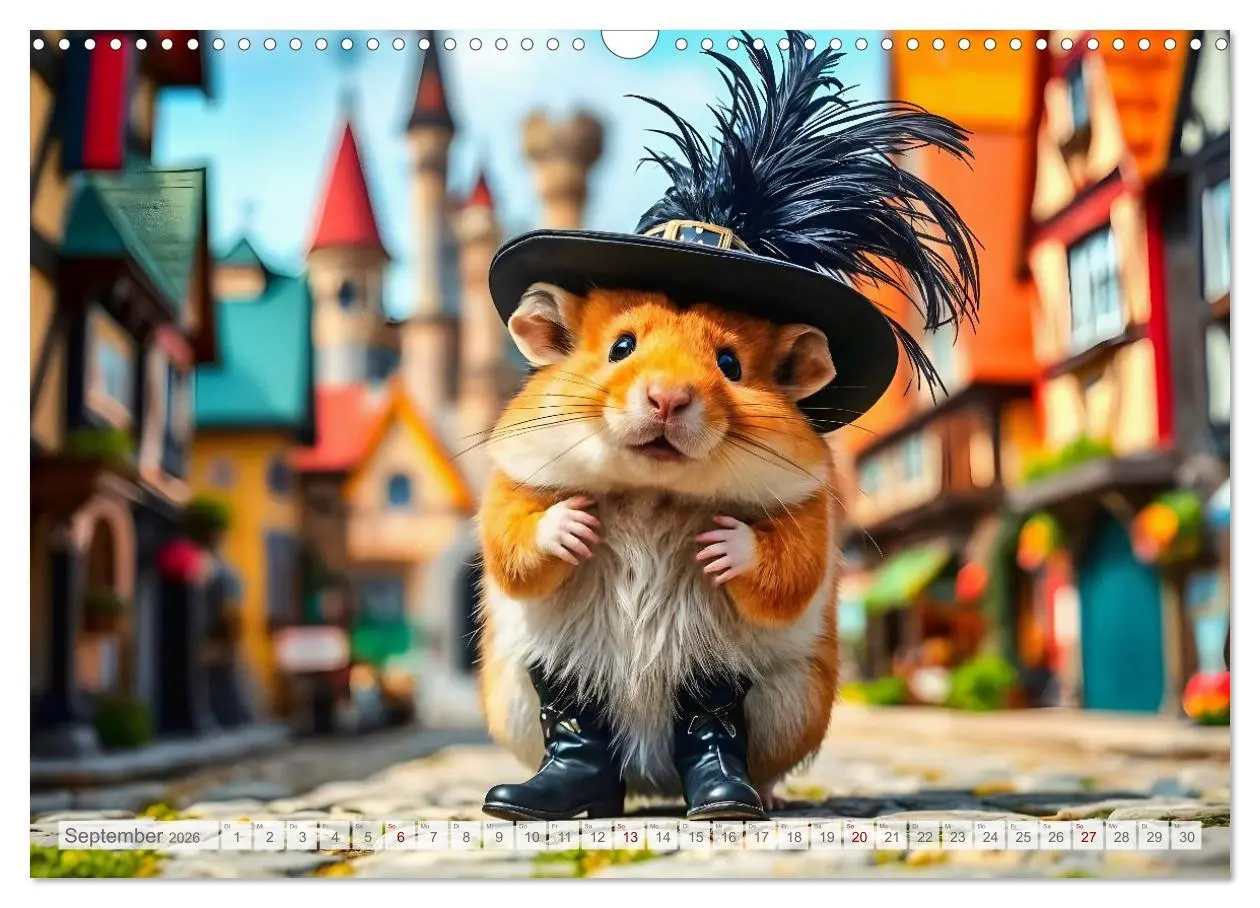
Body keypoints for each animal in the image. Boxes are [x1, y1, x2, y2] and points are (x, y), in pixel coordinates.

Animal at [476, 281, 840, 803]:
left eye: (730, 364)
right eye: (621, 347)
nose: (668, 398)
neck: (651, 490)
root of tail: (653, 781)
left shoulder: (809, 515)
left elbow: (790, 571)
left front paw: (720, 545)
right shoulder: (508, 490)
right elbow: (514, 544)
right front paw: (575, 526)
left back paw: (745, 796)